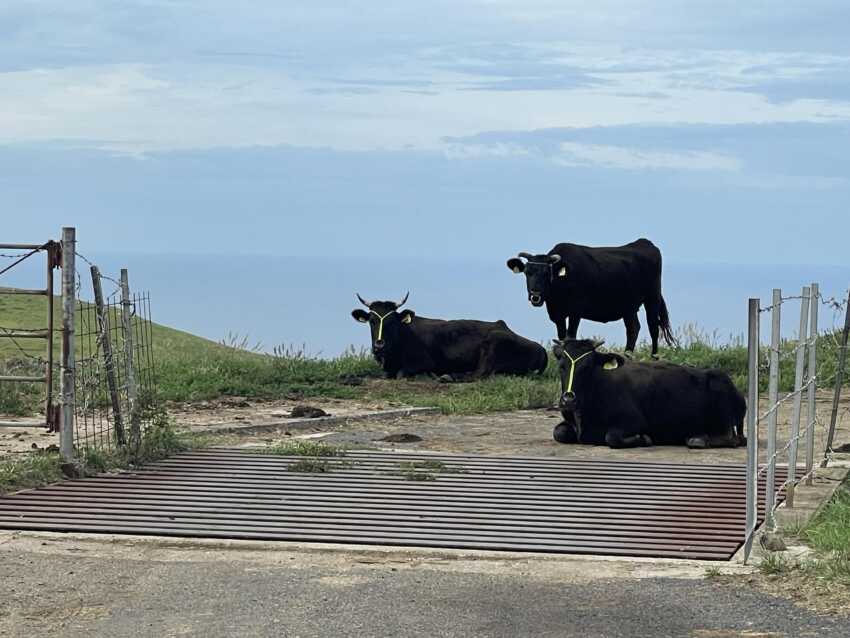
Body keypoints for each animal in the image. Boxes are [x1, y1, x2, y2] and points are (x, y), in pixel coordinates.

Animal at [348, 294, 548, 380]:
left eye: (391, 322)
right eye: (372, 321)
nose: (379, 345)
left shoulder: (424, 362)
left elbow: (400, 373)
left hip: (494, 342)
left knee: (479, 373)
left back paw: (448, 376)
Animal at [504, 240, 676, 358]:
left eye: (547, 273)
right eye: (527, 272)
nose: (535, 295)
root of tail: (644, 243)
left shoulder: (576, 311)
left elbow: (570, 335)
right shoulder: (557, 314)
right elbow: (561, 336)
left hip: (652, 297)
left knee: (653, 326)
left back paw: (654, 357)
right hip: (628, 306)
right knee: (633, 328)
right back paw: (627, 355)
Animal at [548, 340, 744, 450]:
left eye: (588, 366)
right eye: (562, 366)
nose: (568, 399)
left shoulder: (634, 420)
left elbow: (612, 437)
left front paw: (643, 439)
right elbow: (558, 432)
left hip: (723, 401)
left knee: (733, 438)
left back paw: (698, 439)